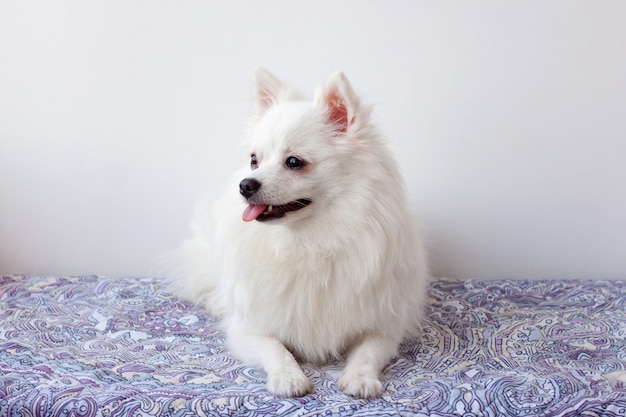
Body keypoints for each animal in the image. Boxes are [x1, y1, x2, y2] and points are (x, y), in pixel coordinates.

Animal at [176, 67, 428, 396]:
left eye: (294, 162)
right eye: (254, 160)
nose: (245, 184)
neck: (307, 242)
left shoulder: (384, 326)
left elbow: (368, 351)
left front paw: (360, 378)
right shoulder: (247, 329)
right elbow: (275, 348)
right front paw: (288, 377)